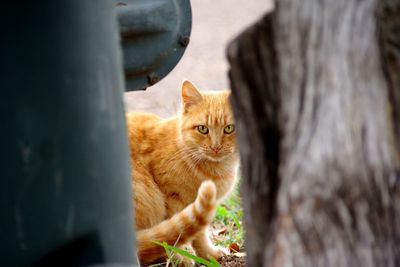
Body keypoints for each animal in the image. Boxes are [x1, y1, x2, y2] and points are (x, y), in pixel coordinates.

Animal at [126, 80, 238, 266]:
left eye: (229, 128)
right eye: (203, 129)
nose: (216, 147)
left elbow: (198, 233)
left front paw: (208, 255)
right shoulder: (172, 199)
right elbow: (176, 236)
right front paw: (179, 257)